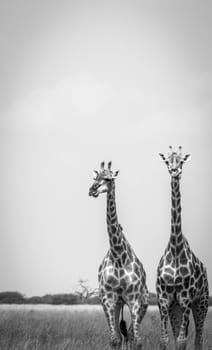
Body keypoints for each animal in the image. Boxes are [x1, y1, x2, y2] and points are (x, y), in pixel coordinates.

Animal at [88, 162, 148, 350]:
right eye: (95, 177)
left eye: (108, 178)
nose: (92, 189)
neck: (118, 257)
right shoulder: (107, 299)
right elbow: (114, 340)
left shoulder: (134, 299)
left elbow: (137, 341)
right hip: (117, 304)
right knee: (121, 337)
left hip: (142, 302)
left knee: (129, 336)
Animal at [157, 146, 210, 348]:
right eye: (167, 161)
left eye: (181, 161)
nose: (175, 172)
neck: (175, 250)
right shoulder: (164, 300)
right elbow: (165, 340)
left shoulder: (186, 299)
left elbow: (181, 341)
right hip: (176, 308)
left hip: (201, 302)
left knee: (198, 338)